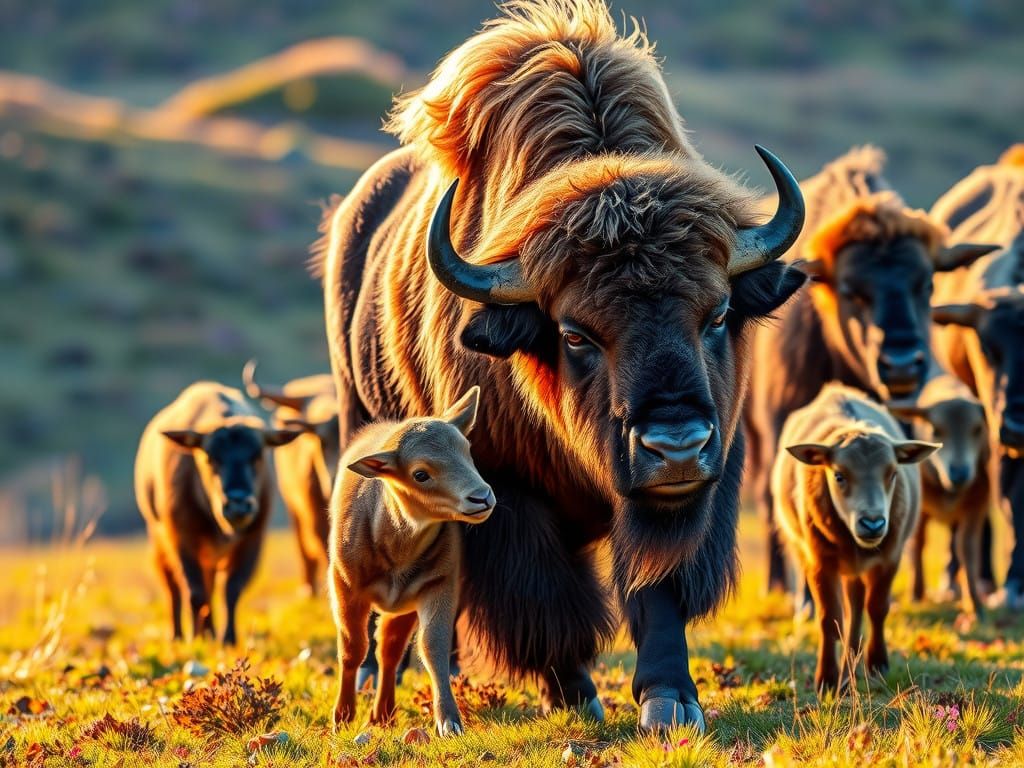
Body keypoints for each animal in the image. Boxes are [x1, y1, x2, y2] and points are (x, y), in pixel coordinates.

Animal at [315, 0, 807, 730]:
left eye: (717, 313)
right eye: (575, 334)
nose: (676, 447)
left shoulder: (698, 489)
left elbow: (657, 591)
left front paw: (670, 701)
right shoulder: (505, 488)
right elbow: (544, 597)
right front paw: (576, 691)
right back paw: (388, 668)